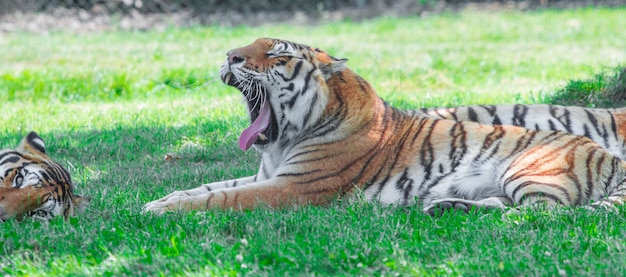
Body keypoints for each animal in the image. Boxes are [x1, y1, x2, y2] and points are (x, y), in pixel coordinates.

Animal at [144, 37, 624, 213]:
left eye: (277, 54)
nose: (230, 56)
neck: (281, 143)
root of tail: (611, 158)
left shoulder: (294, 186)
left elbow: (222, 198)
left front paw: (159, 210)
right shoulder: (267, 174)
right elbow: (209, 185)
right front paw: (164, 197)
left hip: (529, 171)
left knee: (543, 215)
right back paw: (447, 207)